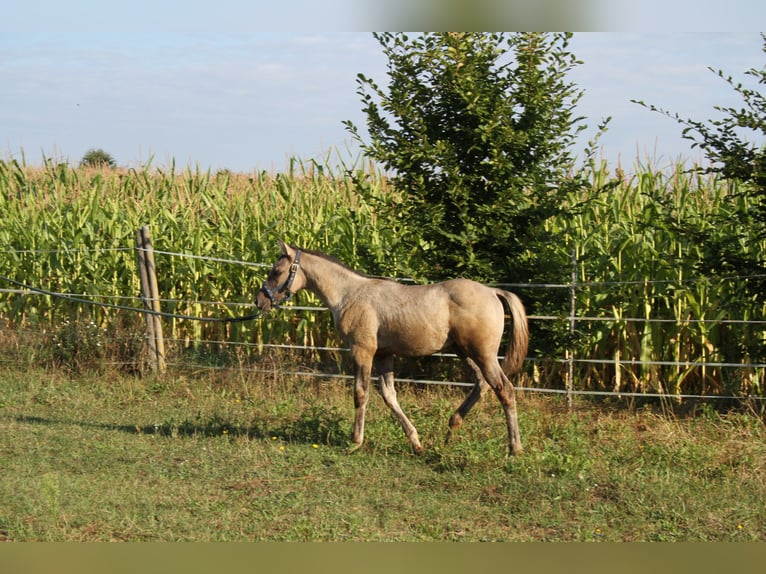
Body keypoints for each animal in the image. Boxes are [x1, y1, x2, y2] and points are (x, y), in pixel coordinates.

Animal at [255, 241, 532, 456]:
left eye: (276, 271)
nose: (259, 301)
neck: (349, 294)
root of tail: (493, 292)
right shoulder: (384, 355)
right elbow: (389, 396)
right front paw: (416, 443)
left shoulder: (362, 350)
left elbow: (361, 393)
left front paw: (355, 442)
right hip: (465, 352)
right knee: (481, 384)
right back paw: (452, 428)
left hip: (482, 354)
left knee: (504, 389)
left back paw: (515, 449)